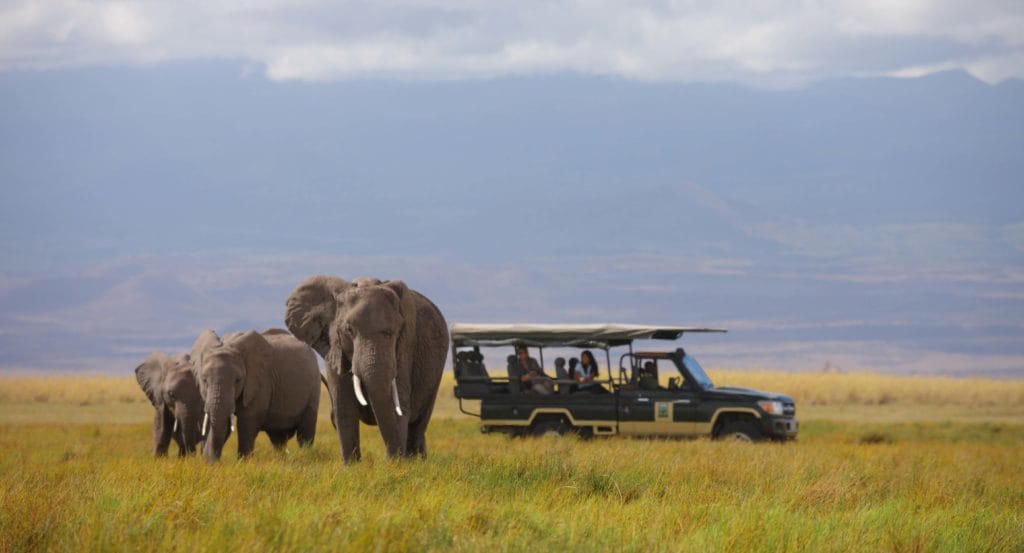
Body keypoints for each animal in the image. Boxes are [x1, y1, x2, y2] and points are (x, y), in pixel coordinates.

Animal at [192, 327, 319, 462]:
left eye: (238, 380)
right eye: (204, 380)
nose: (207, 460)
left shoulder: (260, 381)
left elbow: (247, 422)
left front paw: (243, 463)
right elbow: (224, 422)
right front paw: (211, 463)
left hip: (314, 388)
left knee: (305, 434)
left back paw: (306, 456)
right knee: (278, 439)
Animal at [288, 274, 448, 460]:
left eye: (395, 331)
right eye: (349, 330)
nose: (393, 459)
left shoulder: (406, 344)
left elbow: (398, 403)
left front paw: (397, 464)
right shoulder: (333, 347)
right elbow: (344, 407)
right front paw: (352, 465)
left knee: (419, 423)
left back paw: (416, 461)